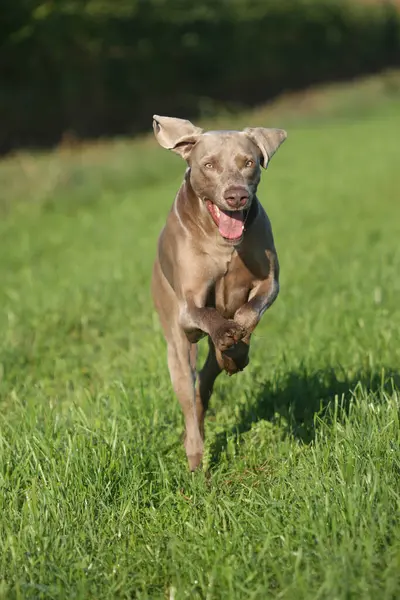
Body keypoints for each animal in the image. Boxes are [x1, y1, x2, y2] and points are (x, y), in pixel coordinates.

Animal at [152, 113, 286, 468]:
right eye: (209, 165)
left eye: (248, 162)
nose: (236, 196)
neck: (223, 243)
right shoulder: (188, 310)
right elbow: (205, 313)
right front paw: (227, 333)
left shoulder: (270, 281)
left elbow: (249, 311)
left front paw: (237, 347)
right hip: (176, 347)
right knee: (188, 397)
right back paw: (196, 458)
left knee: (205, 383)